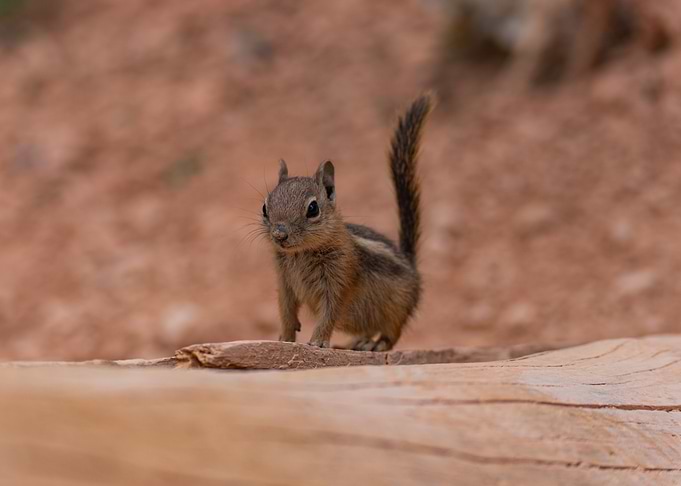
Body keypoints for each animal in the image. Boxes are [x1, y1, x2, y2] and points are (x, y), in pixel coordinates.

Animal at [261, 94, 432, 351]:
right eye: (264, 208)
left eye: (313, 208)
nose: (279, 234)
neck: (300, 254)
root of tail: (410, 263)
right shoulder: (285, 282)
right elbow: (286, 310)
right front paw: (285, 338)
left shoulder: (340, 278)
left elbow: (330, 312)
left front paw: (318, 341)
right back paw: (355, 342)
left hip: (397, 308)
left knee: (392, 333)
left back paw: (376, 345)